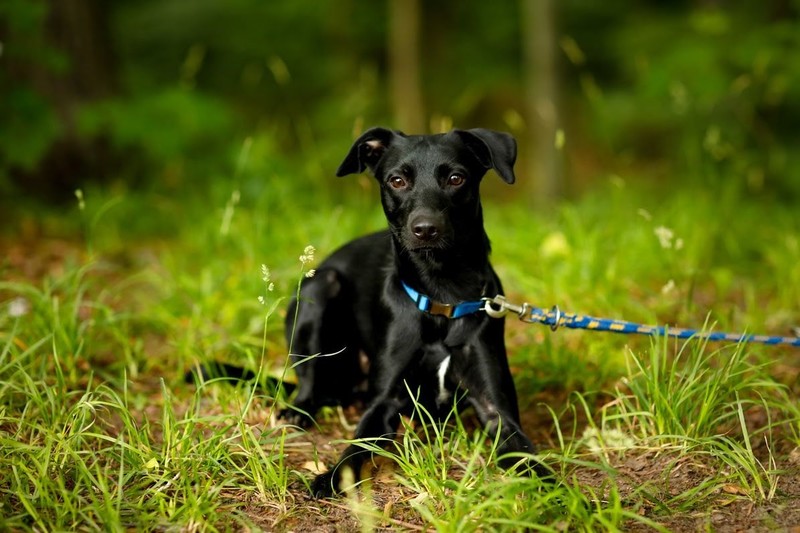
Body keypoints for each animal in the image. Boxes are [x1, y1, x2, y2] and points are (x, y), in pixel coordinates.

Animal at [282, 127, 544, 496]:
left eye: (456, 178)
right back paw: (298, 411)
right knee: (308, 379)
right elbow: (355, 449)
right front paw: (330, 477)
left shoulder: (498, 412)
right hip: (320, 287)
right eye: (397, 180)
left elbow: (532, 460)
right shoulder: (383, 403)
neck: (442, 297)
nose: (425, 229)